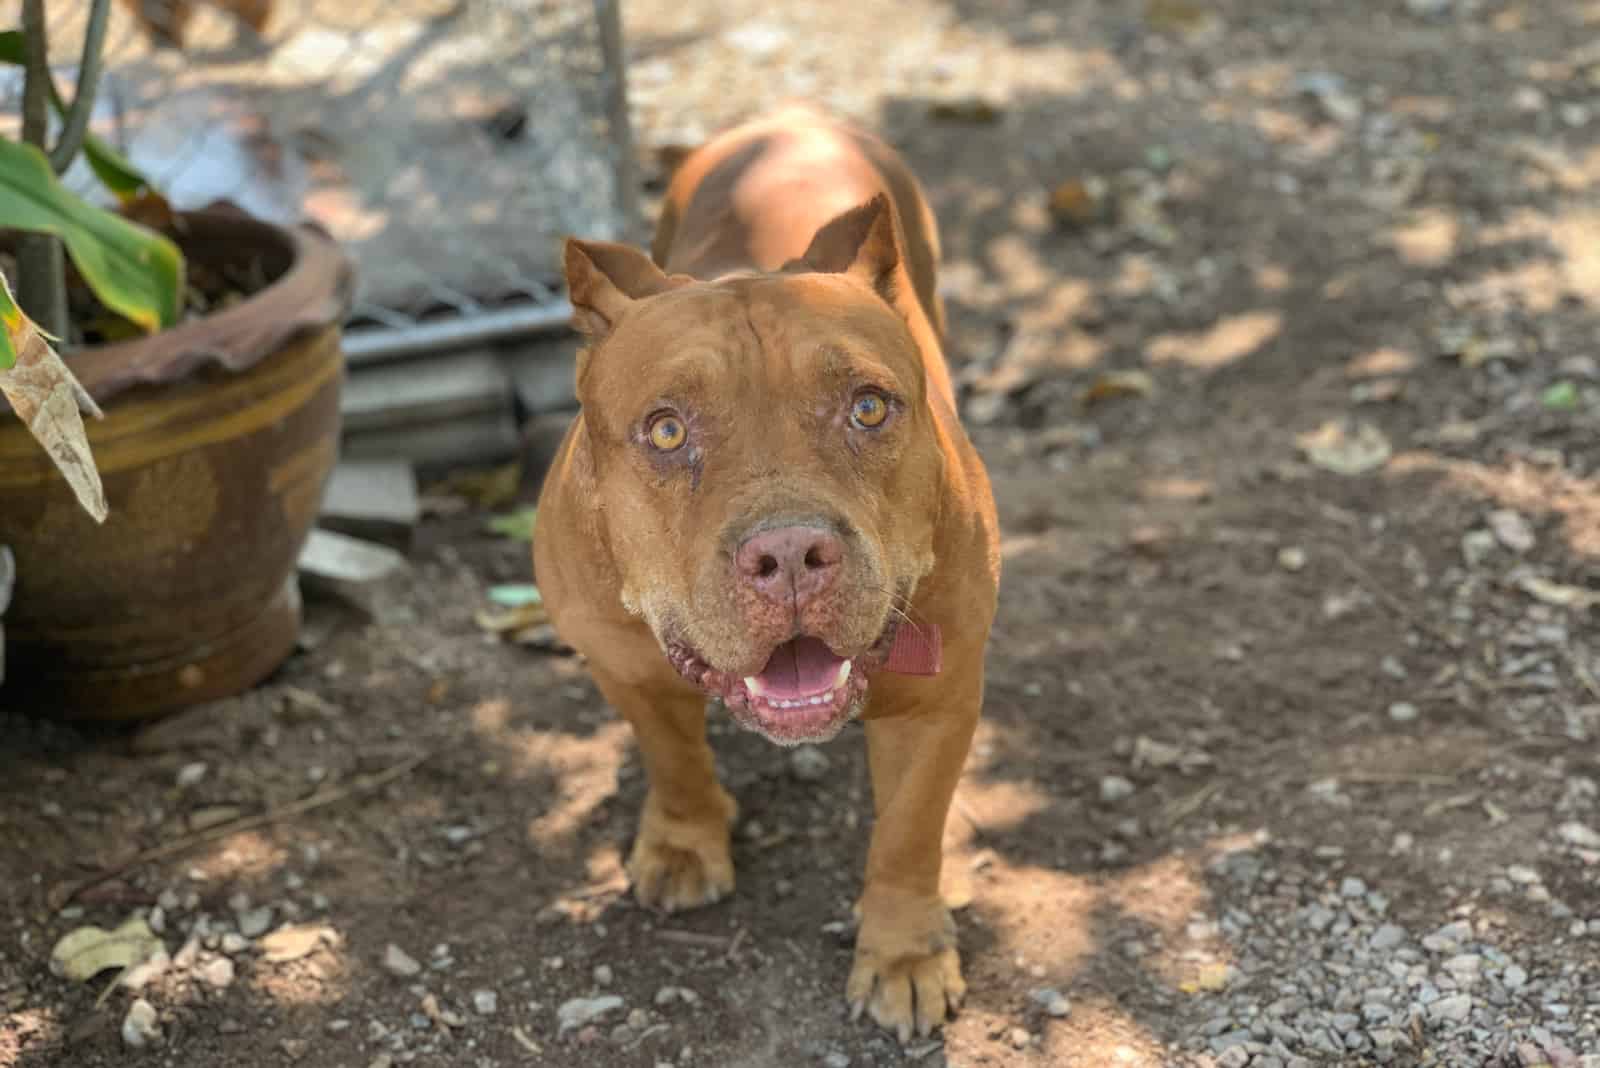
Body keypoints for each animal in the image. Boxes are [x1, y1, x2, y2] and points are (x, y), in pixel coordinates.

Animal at [537, 103, 998, 1036]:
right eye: (666, 430)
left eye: (869, 407)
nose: (788, 554)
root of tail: (794, 115)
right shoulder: (622, 660)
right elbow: (674, 756)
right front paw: (685, 839)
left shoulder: (937, 699)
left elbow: (907, 833)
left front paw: (904, 953)